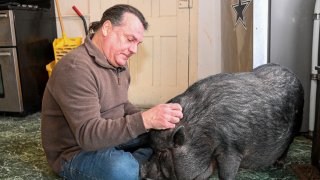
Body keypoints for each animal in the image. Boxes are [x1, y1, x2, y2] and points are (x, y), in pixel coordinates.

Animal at [141, 62, 304, 179]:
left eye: (162, 153)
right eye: (152, 149)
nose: (142, 171)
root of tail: (293, 74)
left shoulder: (232, 148)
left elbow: (226, 173)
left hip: (297, 124)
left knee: (288, 145)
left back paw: (279, 165)